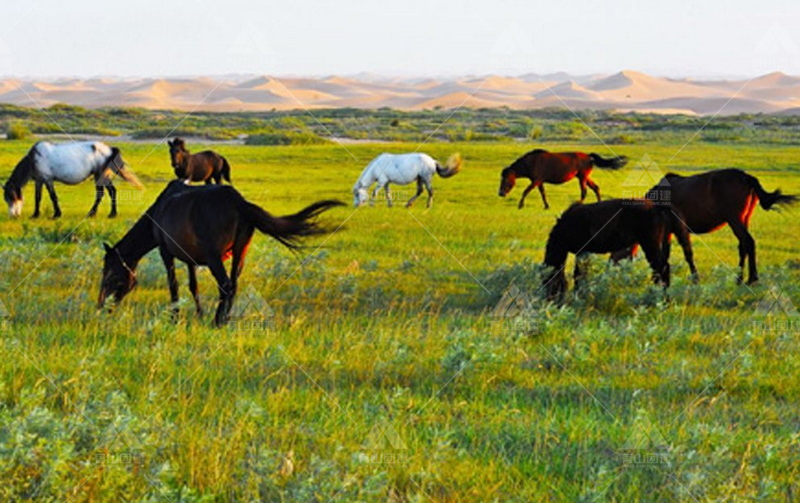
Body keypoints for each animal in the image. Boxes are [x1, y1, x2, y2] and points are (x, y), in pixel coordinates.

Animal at [2, 143, 142, 220]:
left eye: (10, 196)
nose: (13, 215)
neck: (35, 158)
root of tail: (110, 149)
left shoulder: (47, 180)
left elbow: (53, 197)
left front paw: (56, 214)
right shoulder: (39, 180)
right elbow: (38, 197)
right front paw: (35, 214)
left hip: (100, 175)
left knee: (103, 193)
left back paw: (94, 213)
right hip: (102, 176)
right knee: (111, 191)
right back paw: (110, 214)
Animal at [98, 181, 342, 326]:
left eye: (110, 274)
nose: (101, 306)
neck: (159, 212)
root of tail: (239, 202)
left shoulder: (166, 251)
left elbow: (173, 284)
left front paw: (175, 317)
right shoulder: (190, 259)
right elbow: (193, 286)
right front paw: (198, 313)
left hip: (215, 257)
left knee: (225, 284)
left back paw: (218, 320)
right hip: (240, 252)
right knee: (233, 284)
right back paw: (225, 319)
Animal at [496, 149, 628, 210]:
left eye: (506, 179)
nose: (501, 193)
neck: (531, 162)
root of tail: (588, 156)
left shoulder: (536, 181)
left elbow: (526, 191)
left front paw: (520, 205)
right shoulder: (539, 182)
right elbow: (543, 194)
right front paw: (546, 206)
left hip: (582, 177)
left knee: (584, 191)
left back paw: (578, 204)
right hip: (584, 177)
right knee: (595, 188)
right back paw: (598, 203)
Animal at [544, 199, 692, 302]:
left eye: (548, 282)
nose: (550, 301)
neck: (566, 227)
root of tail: (657, 207)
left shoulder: (582, 251)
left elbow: (578, 275)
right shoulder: (583, 253)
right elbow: (581, 274)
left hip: (650, 245)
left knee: (661, 269)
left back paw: (663, 300)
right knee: (661, 270)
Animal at [612, 169, 792, 286]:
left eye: (616, 251)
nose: (611, 268)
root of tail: (746, 177)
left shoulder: (680, 229)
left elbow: (687, 253)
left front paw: (695, 278)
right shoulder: (668, 232)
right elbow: (665, 254)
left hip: (734, 219)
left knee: (748, 242)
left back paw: (750, 278)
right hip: (744, 219)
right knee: (743, 245)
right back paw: (740, 279)